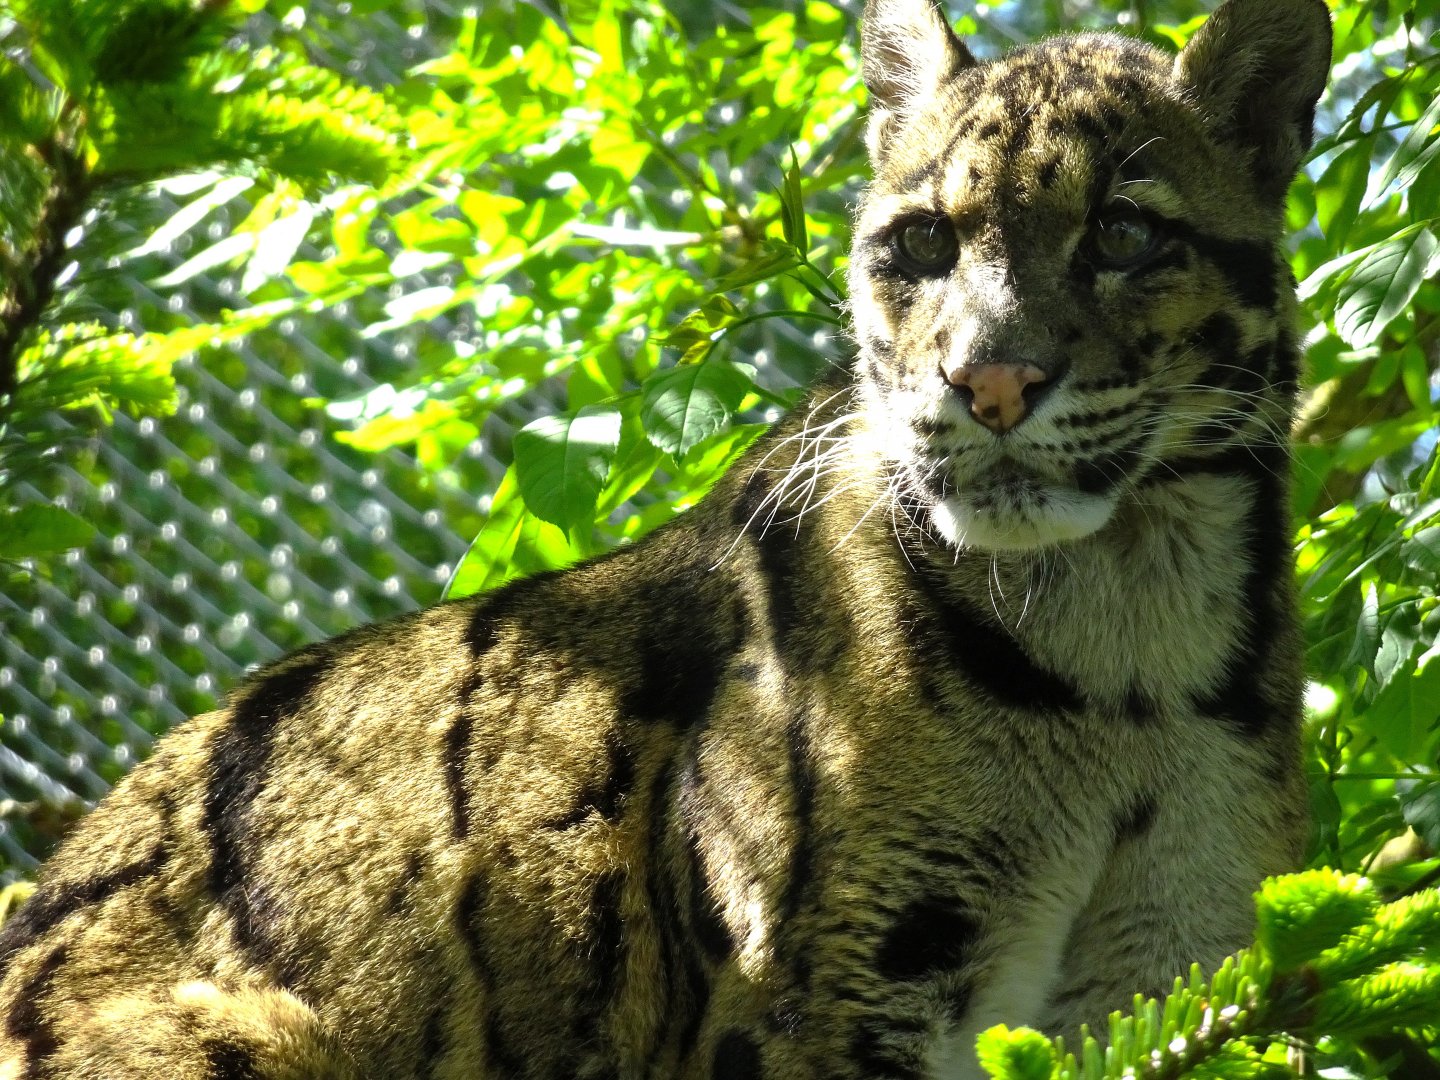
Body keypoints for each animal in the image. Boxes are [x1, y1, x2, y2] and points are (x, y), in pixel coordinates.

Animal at [0, 0, 1331, 1077]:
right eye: (923, 245)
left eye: (1122, 234)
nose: (988, 382)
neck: (1128, 645)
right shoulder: (824, 994)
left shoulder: (1169, 976)